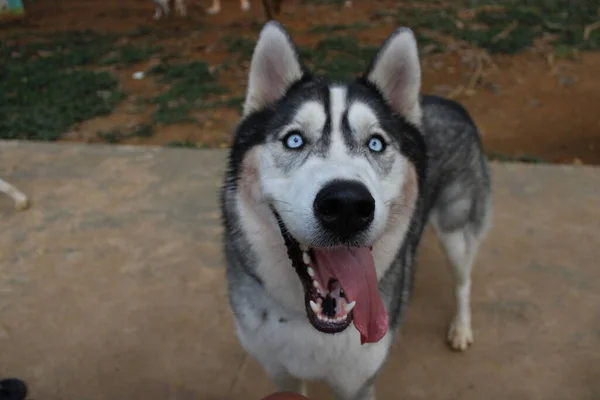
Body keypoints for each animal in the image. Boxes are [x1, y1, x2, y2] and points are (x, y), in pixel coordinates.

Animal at [220, 22, 492, 400]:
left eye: (376, 143)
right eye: (294, 140)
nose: (347, 205)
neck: (310, 324)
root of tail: (447, 101)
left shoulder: (358, 383)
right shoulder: (280, 374)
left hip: (457, 231)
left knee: (463, 281)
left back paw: (461, 327)